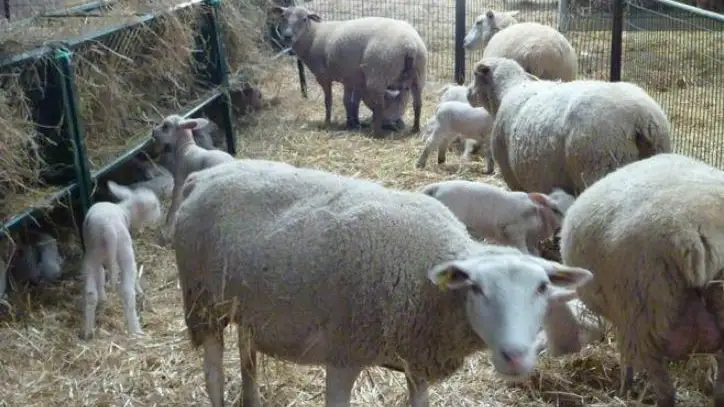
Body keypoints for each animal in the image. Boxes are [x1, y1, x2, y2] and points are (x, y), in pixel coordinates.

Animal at [80, 181, 162, 340]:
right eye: (155, 205)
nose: (159, 217)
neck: (125, 210)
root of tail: (108, 229)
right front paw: (140, 291)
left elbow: (101, 276)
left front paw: (103, 298)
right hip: (124, 250)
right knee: (127, 292)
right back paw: (135, 330)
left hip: (93, 252)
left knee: (91, 292)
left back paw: (88, 331)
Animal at [151, 114, 235, 244]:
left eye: (166, 126)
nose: (153, 131)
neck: (185, 148)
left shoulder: (179, 180)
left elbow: (175, 204)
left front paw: (167, 229)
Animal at [271, 5, 427, 138]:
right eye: (283, 17)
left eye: (304, 19)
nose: (287, 36)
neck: (313, 36)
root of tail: (410, 45)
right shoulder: (352, 78)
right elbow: (350, 102)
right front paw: (352, 123)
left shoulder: (324, 77)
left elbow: (329, 101)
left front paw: (327, 122)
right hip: (418, 75)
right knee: (418, 103)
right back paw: (415, 129)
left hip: (379, 74)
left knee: (380, 105)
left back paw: (377, 133)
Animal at [419, 180, 572, 256]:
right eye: (555, 210)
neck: (540, 213)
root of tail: (436, 187)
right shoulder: (514, 231)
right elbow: (525, 252)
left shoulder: (531, 240)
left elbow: (535, 253)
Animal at [467, 57, 672, 196]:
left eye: (475, 75)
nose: (468, 93)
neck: (509, 90)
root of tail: (642, 117)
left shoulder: (514, 180)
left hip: (599, 166)